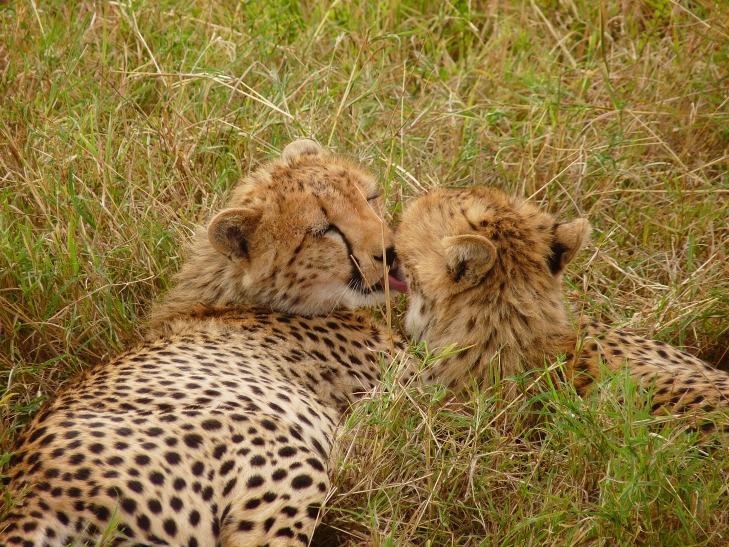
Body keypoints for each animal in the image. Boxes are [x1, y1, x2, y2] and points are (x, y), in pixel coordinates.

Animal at [0, 139, 409, 547]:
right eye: (325, 230)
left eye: (370, 198)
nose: (390, 252)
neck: (235, 293)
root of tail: (27, 495)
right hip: (283, 455)